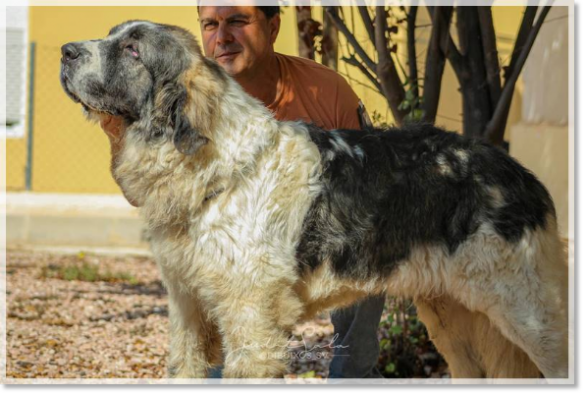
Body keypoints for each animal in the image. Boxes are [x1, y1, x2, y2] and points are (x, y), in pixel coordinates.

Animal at [61, 20, 568, 378]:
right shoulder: (188, 311)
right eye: (111, 35)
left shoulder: (252, 324)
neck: (210, 164)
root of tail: (518, 172)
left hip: (529, 316)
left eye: (132, 50)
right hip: (455, 321)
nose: (66, 51)